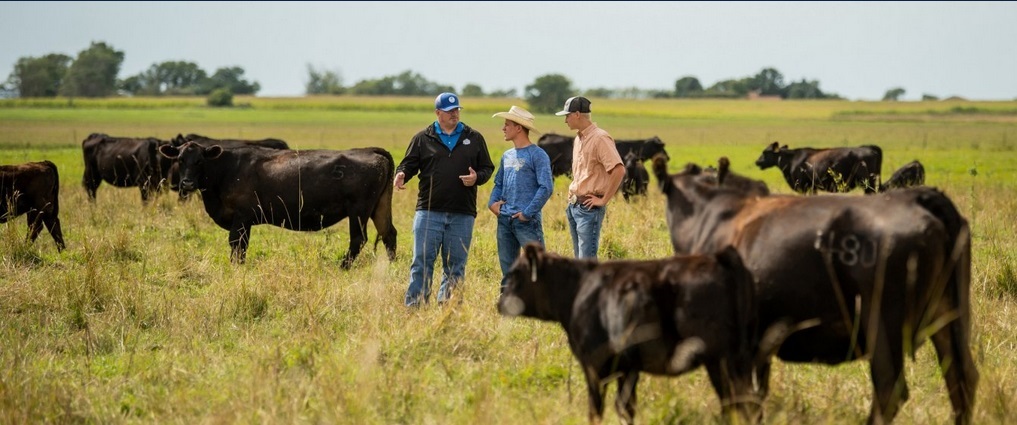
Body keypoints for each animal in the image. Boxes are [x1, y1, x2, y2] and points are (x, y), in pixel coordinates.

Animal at [158, 142, 396, 268]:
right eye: (180, 159)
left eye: (200, 161)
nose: (187, 183)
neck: (227, 170)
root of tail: (369, 149)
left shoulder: (241, 217)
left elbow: (237, 244)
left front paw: (236, 267)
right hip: (379, 206)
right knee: (389, 233)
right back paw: (392, 265)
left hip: (359, 210)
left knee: (358, 239)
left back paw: (342, 267)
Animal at [496, 241, 764, 425]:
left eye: (515, 274)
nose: (500, 303)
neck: (578, 291)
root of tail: (720, 258)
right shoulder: (628, 368)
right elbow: (626, 407)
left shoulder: (594, 364)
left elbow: (596, 410)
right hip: (739, 359)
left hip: (721, 359)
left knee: (737, 402)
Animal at [650, 156, 976, 425]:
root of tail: (917, 197)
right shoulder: (759, 343)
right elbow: (756, 398)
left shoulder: (720, 344)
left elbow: (735, 401)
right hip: (950, 318)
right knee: (962, 382)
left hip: (883, 325)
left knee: (889, 389)